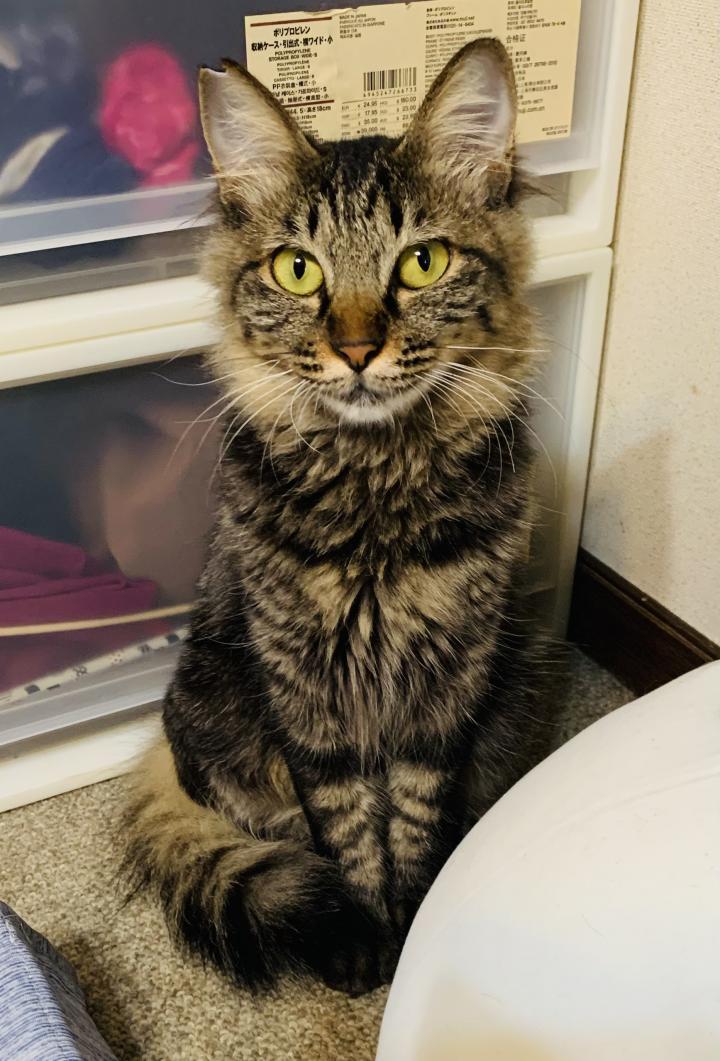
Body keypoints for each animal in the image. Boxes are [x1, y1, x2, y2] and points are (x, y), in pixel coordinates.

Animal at [122, 37, 553, 997]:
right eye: (298, 269)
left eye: (422, 262)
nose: (357, 349)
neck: (375, 494)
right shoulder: (307, 699)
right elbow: (347, 830)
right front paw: (362, 942)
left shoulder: (445, 693)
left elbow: (416, 823)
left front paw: (415, 917)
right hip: (216, 713)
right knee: (274, 827)